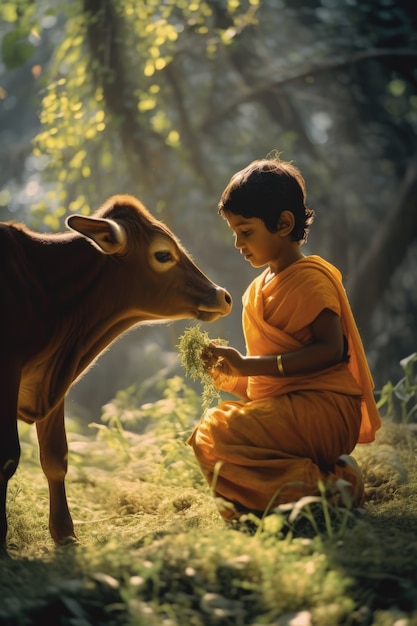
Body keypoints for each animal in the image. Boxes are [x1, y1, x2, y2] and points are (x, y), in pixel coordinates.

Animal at [0, 194, 232, 544]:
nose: (223, 295)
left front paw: (64, 532)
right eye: (162, 254)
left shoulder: (52, 387)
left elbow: (56, 457)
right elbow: (8, 457)